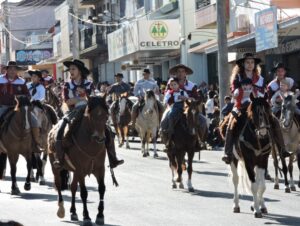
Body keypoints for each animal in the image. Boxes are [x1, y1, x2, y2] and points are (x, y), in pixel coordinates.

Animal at [48, 96, 109, 226]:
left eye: (106, 116)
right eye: (91, 116)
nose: (100, 138)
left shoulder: (100, 169)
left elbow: (101, 189)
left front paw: (100, 215)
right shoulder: (81, 170)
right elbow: (84, 192)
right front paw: (86, 217)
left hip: (75, 171)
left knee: (73, 188)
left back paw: (74, 212)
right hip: (55, 166)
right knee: (59, 184)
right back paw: (61, 210)